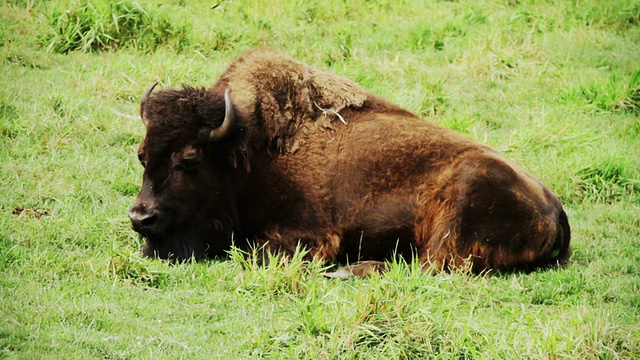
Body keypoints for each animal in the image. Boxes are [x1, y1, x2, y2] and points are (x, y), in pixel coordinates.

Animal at [129, 48, 568, 276]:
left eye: (190, 160)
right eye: (142, 155)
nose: (140, 217)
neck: (247, 152)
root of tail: (557, 211)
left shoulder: (308, 236)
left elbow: (255, 251)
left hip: (457, 214)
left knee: (426, 265)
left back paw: (346, 270)